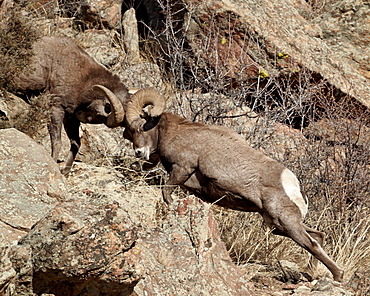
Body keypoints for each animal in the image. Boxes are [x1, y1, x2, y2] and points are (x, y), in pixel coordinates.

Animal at [12, 35, 137, 173]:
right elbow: (57, 142)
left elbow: (76, 143)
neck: (84, 80)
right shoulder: (56, 108)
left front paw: (65, 172)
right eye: (106, 110)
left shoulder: (71, 118)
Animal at [115, 88, 344, 282]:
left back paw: (337, 276)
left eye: (139, 128)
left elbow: (167, 195)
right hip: (276, 226)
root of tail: (294, 186)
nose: (139, 153)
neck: (176, 131)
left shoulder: (182, 169)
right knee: (318, 236)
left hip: (285, 223)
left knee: (312, 243)